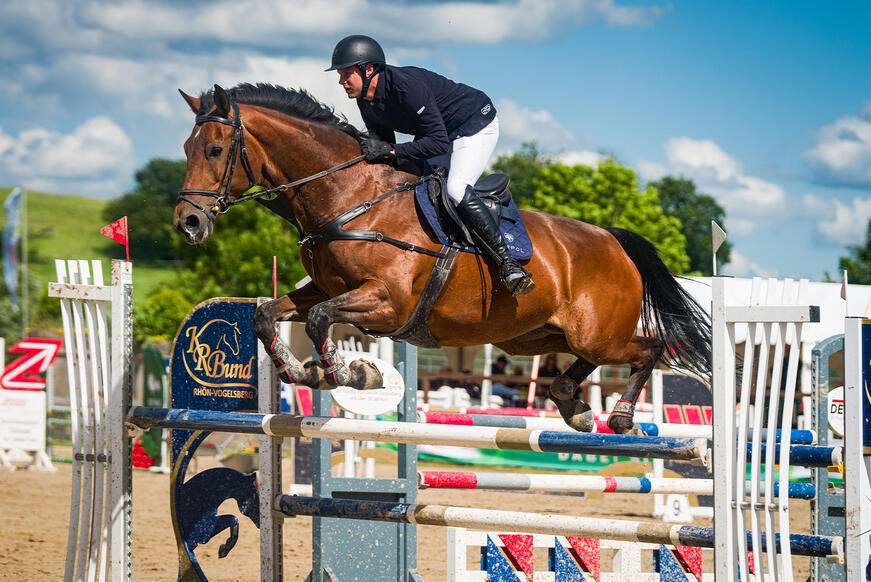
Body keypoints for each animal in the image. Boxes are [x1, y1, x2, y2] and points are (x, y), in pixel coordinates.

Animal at [172, 83, 708, 434]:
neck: (350, 197)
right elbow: (268, 315)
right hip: (534, 335)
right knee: (583, 363)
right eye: (186, 147)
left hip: (598, 333)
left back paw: (619, 415)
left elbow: (323, 319)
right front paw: (305, 372)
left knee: (650, 349)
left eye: (216, 149)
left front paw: (351, 373)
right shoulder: (327, 288)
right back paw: (572, 405)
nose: (188, 222)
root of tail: (614, 241)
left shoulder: (386, 303)